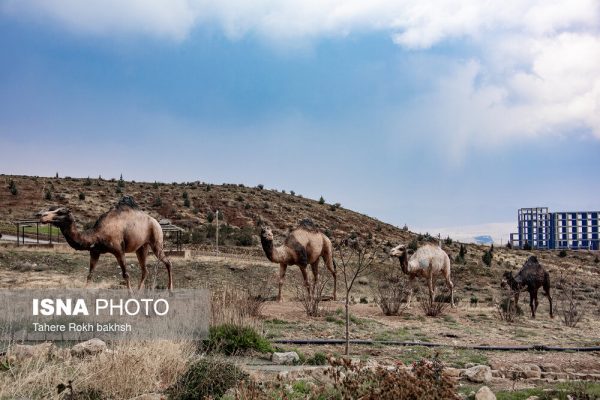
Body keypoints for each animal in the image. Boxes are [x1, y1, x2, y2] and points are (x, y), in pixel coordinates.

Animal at [37, 196, 172, 290]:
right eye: (52, 209)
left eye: (60, 212)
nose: (41, 215)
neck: (96, 235)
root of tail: (156, 222)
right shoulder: (94, 252)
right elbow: (90, 275)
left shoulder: (118, 250)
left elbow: (126, 274)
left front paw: (131, 296)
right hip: (142, 247)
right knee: (145, 270)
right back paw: (139, 292)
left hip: (156, 240)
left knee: (168, 262)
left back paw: (169, 290)